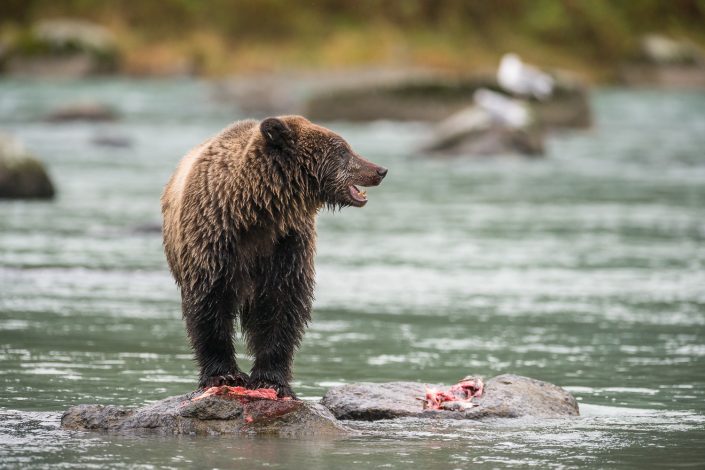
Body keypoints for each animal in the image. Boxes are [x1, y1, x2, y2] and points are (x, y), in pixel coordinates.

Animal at [161, 114, 384, 396]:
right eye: (343, 150)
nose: (379, 170)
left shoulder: (286, 245)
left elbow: (282, 305)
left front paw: (271, 379)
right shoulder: (214, 238)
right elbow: (210, 304)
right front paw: (224, 374)